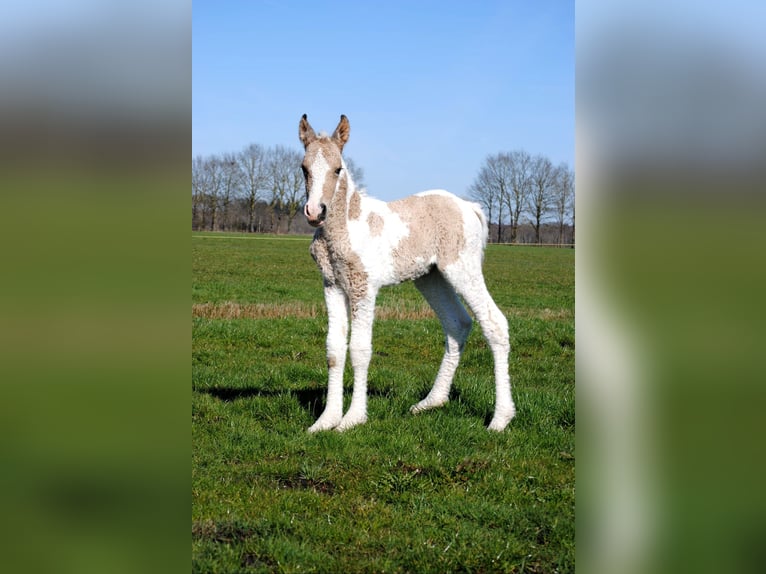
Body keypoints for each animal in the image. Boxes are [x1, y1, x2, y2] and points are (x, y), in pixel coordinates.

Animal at [299, 114, 515, 432]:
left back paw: (500, 419)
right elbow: (334, 350)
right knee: (457, 323)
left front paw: (353, 418)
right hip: (431, 277)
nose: (315, 212)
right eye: (304, 169)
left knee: (494, 323)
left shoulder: (364, 288)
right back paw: (432, 402)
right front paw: (326, 421)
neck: (347, 225)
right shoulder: (332, 285)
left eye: (338, 169)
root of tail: (469, 207)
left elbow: (360, 350)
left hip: (463, 269)